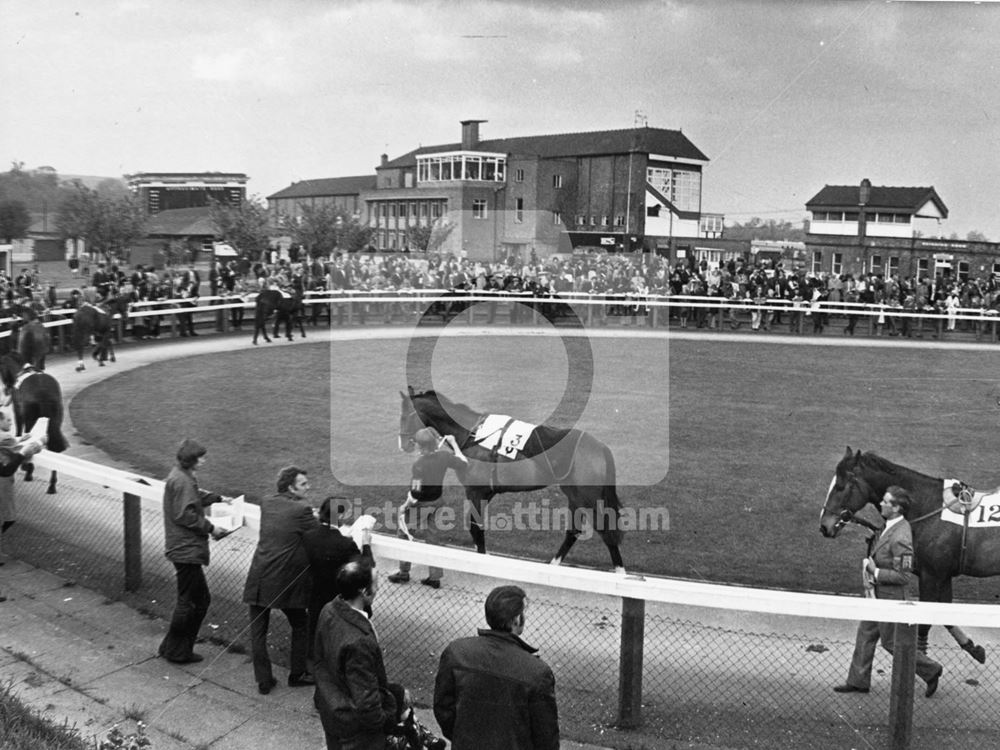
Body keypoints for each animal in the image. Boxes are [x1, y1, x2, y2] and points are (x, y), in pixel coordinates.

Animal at [0, 352, 69, 494]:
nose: (5, 389)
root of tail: (44, 393)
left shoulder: (18, 412)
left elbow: (19, 431)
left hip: (30, 420)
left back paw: (28, 471)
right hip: (55, 422)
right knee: (53, 448)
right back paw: (52, 485)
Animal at [398, 388, 624, 576]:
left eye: (404, 416)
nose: (403, 444)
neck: (474, 434)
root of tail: (600, 446)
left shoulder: (475, 491)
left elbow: (475, 526)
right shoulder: (485, 493)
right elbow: (476, 527)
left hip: (588, 497)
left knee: (605, 530)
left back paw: (621, 574)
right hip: (574, 495)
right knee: (574, 532)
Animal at [820, 446, 992, 664]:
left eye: (841, 486)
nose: (824, 526)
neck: (930, 508)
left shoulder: (931, 576)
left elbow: (926, 622)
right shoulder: (943, 575)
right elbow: (946, 614)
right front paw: (973, 647)